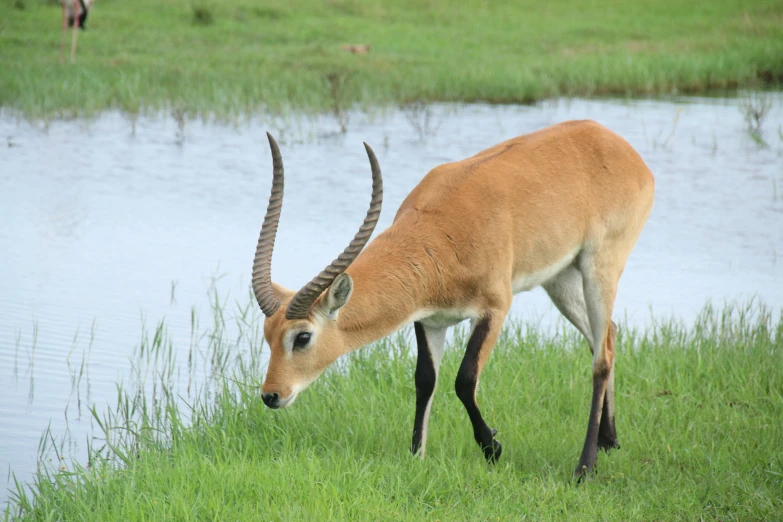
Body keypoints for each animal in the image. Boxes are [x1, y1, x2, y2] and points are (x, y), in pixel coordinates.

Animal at [253, 121, 656, 476]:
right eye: (267, 335)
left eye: (302, 337)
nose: (271, 395)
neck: (441, 232)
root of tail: (618, 145)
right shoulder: (429, 319)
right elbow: (425, 379)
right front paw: (417, 457)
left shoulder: (495, 308)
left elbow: (464, 379)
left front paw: (493, 447)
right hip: (561, 279)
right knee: (607, 335)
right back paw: (609, 441)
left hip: (600, 265)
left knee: (601, 357)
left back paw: (585, 467)